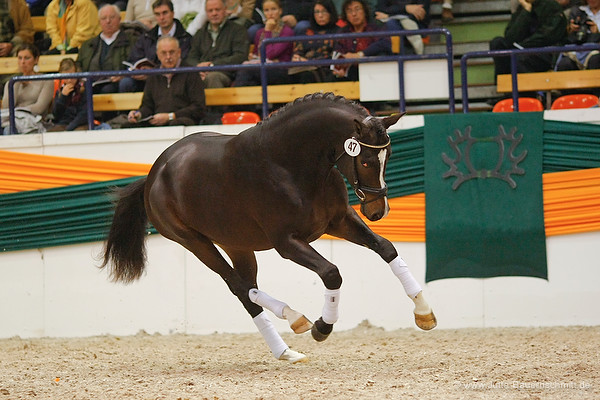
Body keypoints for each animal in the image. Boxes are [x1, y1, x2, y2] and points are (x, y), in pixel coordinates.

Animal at [99, 93, 436, 362]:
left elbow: (386, 249)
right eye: (365, 160)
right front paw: (322, 326)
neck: (290, 164)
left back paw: (286, 347)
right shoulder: (287, 243)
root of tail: (154, 172)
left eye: (389, 155)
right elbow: (332, 273)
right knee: (239, 287)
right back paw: (295, 322)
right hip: (195, 243)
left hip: (237, 244)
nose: (378, 211)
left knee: (247, 288)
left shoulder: (339, 221)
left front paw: (424, 313)